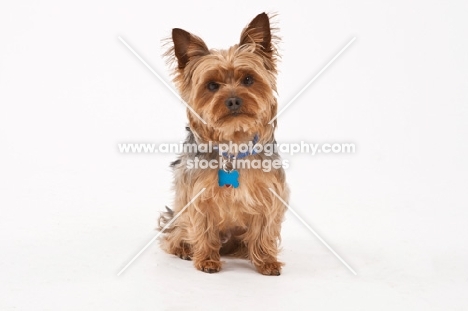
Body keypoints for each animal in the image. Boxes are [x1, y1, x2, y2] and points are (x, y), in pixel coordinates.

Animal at [158, 12, 288, 276]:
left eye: (248, 79)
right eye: (211, 86)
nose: (233, 100)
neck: (233, 144)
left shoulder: (270, 192)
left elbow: (264, 229)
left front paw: (266, 261)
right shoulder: (197, 195)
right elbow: (202, 227)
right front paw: (207, 260)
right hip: (178, 213)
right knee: (174, 233)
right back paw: (184, 249)